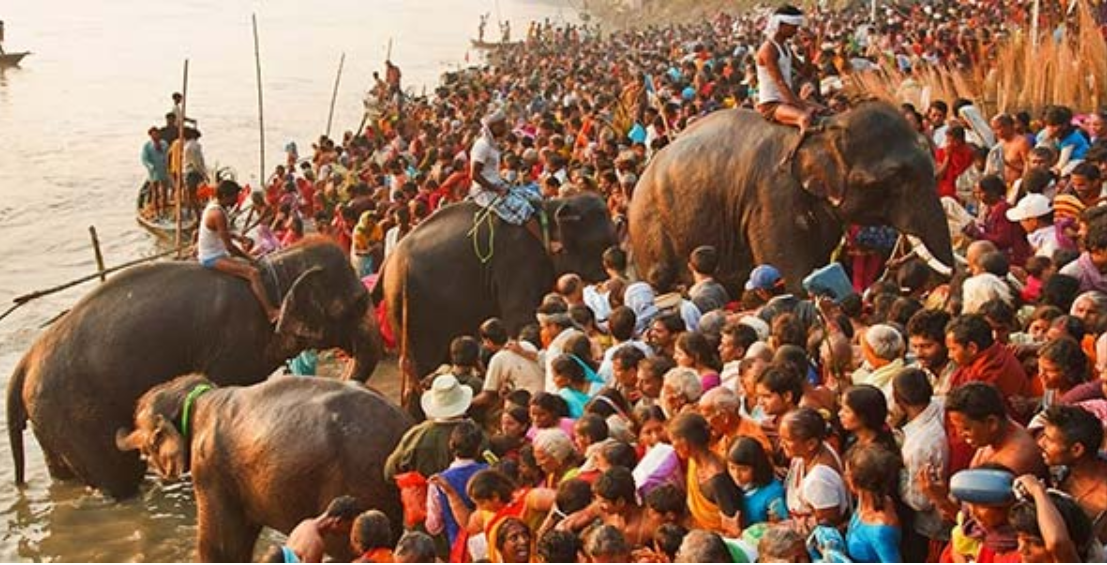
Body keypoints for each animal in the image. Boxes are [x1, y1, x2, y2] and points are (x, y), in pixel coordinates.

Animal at [6, 238, 383, 498]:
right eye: (357, 303)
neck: (277, 267)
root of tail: (24, 363)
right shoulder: (230, 348)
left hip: (50, 419)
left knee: (63, 474)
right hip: (76, 416)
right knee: (118, 478)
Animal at [114, 372, 414, 562]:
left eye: (143, 429)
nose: (143, 458)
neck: (196, 398)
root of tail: (404, 426)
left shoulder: (209, 469)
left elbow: (222, 548)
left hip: (357, 479)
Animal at [374, 193, 619, 401]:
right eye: (602, 243)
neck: (547, 209)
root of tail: (388, 261)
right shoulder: (516, 262)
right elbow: (520, 319)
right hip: (414, 310)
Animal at [628, 101, 956, 294]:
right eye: (897, 177)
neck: (826, 127)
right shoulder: (772, 196)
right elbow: (791, 271)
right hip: (650, 230)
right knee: (660, 278)